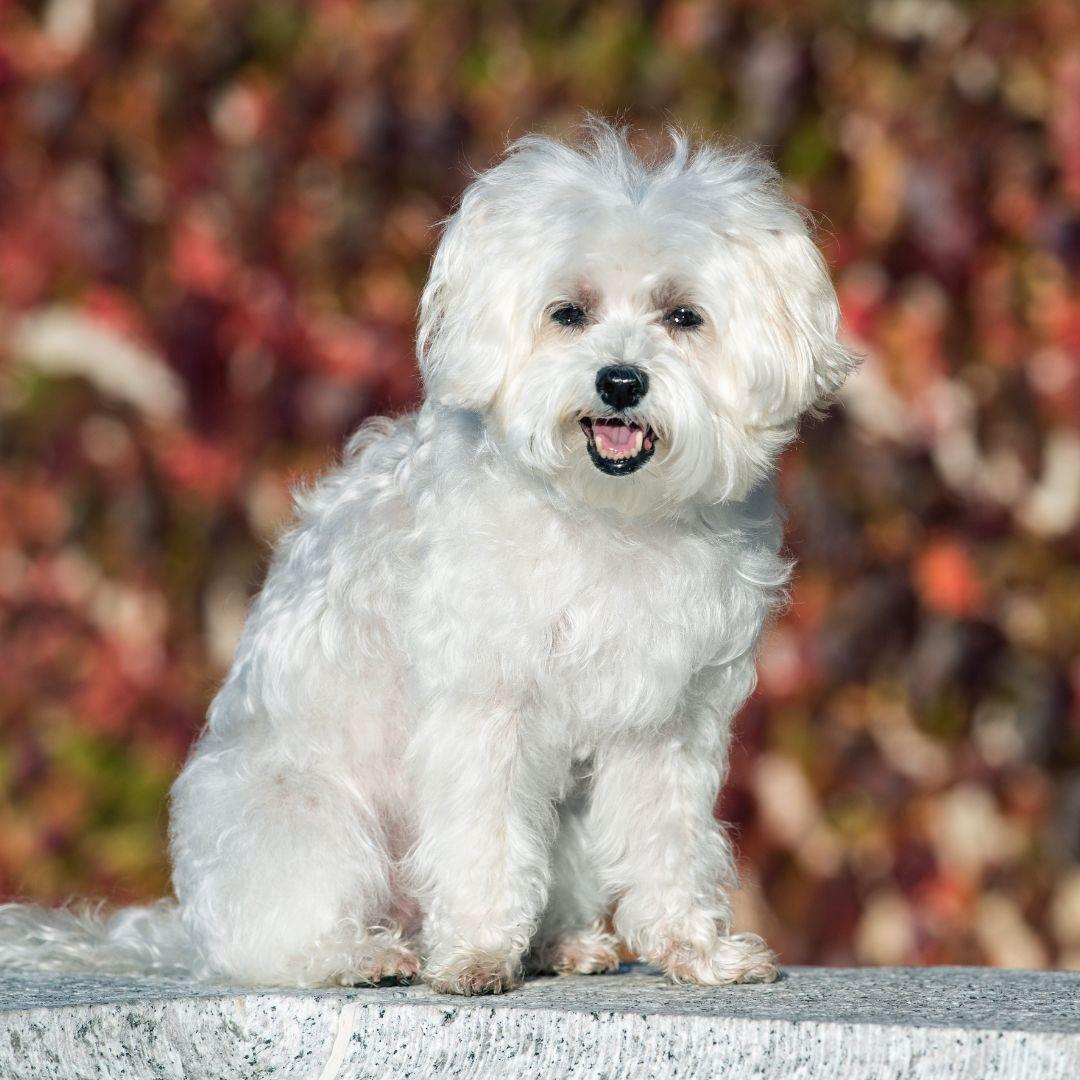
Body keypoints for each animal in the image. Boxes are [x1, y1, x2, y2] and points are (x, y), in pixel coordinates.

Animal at [2, 120, 859, 993]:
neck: (610, 516)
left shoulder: (673, 725)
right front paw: (478, 956)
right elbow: (485, 841)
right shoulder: (486, 710)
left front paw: (695, 949)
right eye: (569, 313)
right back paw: (367, 954)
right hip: (305, 821)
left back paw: (562, 942)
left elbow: (671, 844)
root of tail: (186, 927)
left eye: (683, 316)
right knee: (282, 940)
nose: (620, 382)